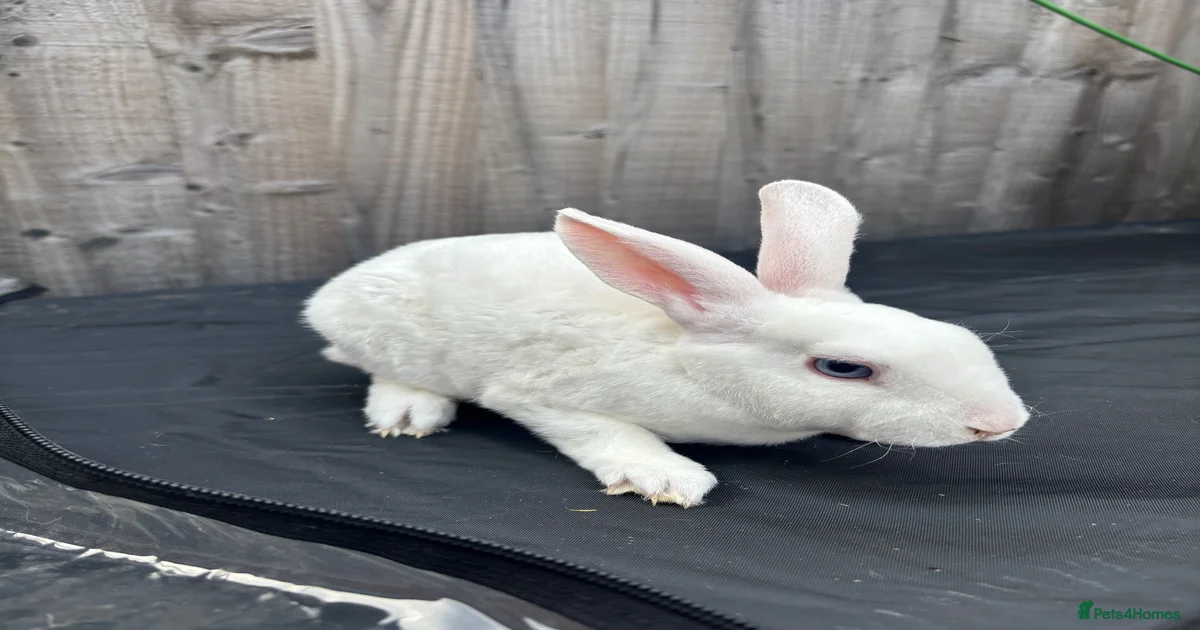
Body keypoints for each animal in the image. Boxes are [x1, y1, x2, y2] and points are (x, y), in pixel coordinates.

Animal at [302, 180, 1029, 508]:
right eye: (842, 367)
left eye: (958, 337)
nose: (1001, 423)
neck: (688, 357)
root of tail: (330, 295)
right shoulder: (544, 397)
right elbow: (606, 434)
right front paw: (667, 478)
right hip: (393, 342)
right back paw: (408, 413)